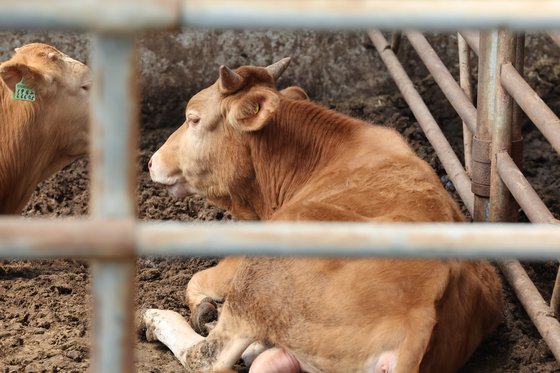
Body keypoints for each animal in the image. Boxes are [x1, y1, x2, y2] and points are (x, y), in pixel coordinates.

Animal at [144, 58, 504, 372]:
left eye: (193, 118)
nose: (150, 161)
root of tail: (426, 310)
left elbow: (197, 280)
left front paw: (204, 310)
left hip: (265, 268)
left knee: (206, 357)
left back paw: (157, 318)